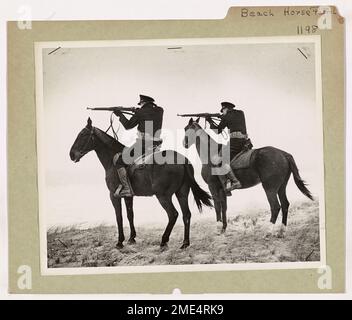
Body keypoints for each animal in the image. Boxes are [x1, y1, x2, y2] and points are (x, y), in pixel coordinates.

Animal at [69, 119, 212, 249]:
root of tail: (181, 159)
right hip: (181, 193)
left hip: (163, 196)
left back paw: (164, 240)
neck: (111, 159)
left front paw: (120, 241)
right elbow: (130, 215)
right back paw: (185, 243)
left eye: (83, 134)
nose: (71, 154)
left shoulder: (113, 195)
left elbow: (119, 217)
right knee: (186, 214)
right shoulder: (128, 196)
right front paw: (131, 238)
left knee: (173, 215)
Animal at [183, 119, 312, 236]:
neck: (210, 154)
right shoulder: (222, 190)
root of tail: (284, 154)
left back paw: (269, 231)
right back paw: (282, 230)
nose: (184, 143)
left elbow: (217, 207)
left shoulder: (213, 187)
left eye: (185, 129)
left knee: (275, 207)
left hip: (269, 188)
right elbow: (224, 207)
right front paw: (224, 228)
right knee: (285, 205)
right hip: (281, 187)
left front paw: (218, 229)